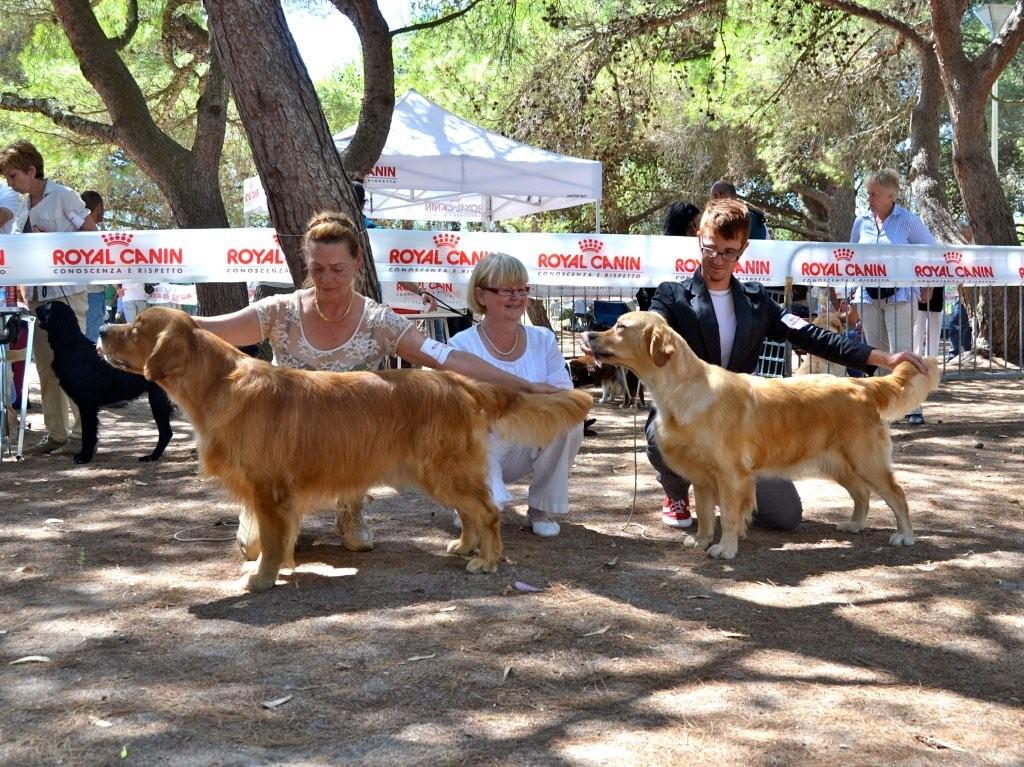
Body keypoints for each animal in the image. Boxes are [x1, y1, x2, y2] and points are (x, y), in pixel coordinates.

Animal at [34, 301, 173, 464]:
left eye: (47, 306)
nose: (35, 308)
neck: (70, 344)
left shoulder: (87, 405)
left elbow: (88, 433)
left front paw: (84, 457)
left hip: (158, 401)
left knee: (166, 432)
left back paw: (152, 456)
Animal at [99, 307, 592, 592]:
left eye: (137, 328)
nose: (102, 329)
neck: (219, 384)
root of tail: (456, 380)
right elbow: (273, 537)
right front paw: (273, 567)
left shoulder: (270, 490)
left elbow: (272, 541)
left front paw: (262, 578)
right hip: (439, 471)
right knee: (472, 512)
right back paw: (464, 547)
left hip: (443, 467)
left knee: (486, 511)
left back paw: (487, 561)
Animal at [586, 311, 939, 559]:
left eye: (620, 326)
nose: (588, 333)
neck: (684, 388)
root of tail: (862, 384)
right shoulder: (702, 476)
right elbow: (705, 513)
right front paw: (701, 540)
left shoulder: (731, 475)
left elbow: (728, 514)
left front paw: (725, 548)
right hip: (839, 462)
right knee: (862, 494)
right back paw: (855, 524)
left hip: (866, 460)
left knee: (896, 494)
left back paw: (905, 536)